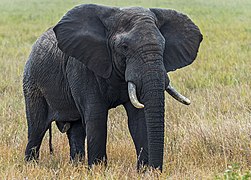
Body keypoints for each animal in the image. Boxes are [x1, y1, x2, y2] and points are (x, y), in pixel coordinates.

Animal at [23, 3, 203, 171]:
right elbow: (96, 116)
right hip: (32, 84)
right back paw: (31, 166)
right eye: (124, 47)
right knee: (37, 129)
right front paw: (97, 170)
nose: (156, 170)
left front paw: (144, 172)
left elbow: (138, 120)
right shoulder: (81, 67)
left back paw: (76, 166)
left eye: (164, 45)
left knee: (76, 130)